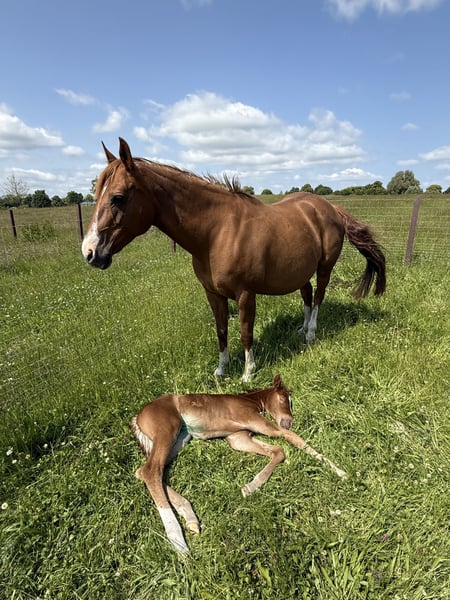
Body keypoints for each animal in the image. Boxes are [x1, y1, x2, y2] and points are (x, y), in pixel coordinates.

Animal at [82, 138, 386, 380]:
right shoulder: (213, 294)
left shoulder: (245, 294)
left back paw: (310, 333)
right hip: (300, 270)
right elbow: (221, 331)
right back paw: (301, 329)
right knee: (307, 294)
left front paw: (248, 372)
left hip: (324, 267)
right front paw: (221, 370)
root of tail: (329, 207)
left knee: (320, 295)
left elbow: (245, 332)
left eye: (118, 197)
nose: (90, 252)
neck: (217, 232)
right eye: (96, 194)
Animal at [130, 374, 347, 553]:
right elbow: (294, 439)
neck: (248, 400)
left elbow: (278, 450)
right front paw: (340, 471)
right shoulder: (254, 420)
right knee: (151, 470)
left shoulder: (237, 437)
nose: (289, 421)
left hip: (181, 438)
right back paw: (178, 542)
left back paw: (190, 518)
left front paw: (250, 487)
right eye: (284, 399)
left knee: (147, 471)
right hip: (167, 431)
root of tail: (137, 417)